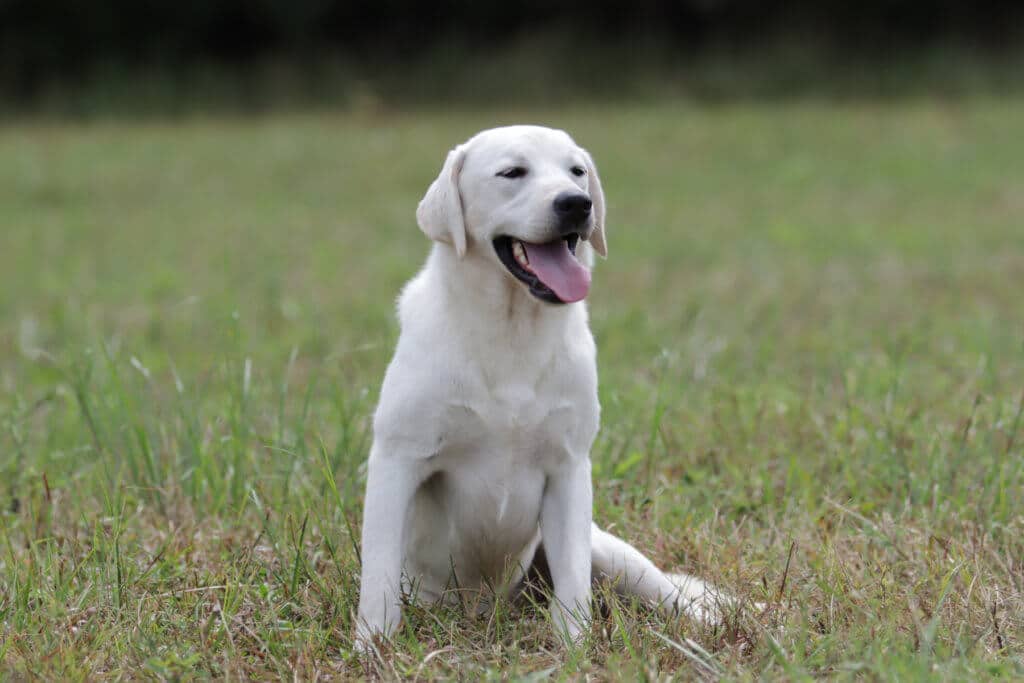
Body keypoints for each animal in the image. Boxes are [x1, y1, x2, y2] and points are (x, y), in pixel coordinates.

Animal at [358, 126, 720, 647]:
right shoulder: (397, 458)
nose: (577, 203)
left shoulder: (568, 468)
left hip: (614, 554)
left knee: (673, 594)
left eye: (577, 171)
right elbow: (379, 576)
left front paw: (574, 647)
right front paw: (372, 647)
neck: (513, 330)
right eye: (512, 172)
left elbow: (572, 585)